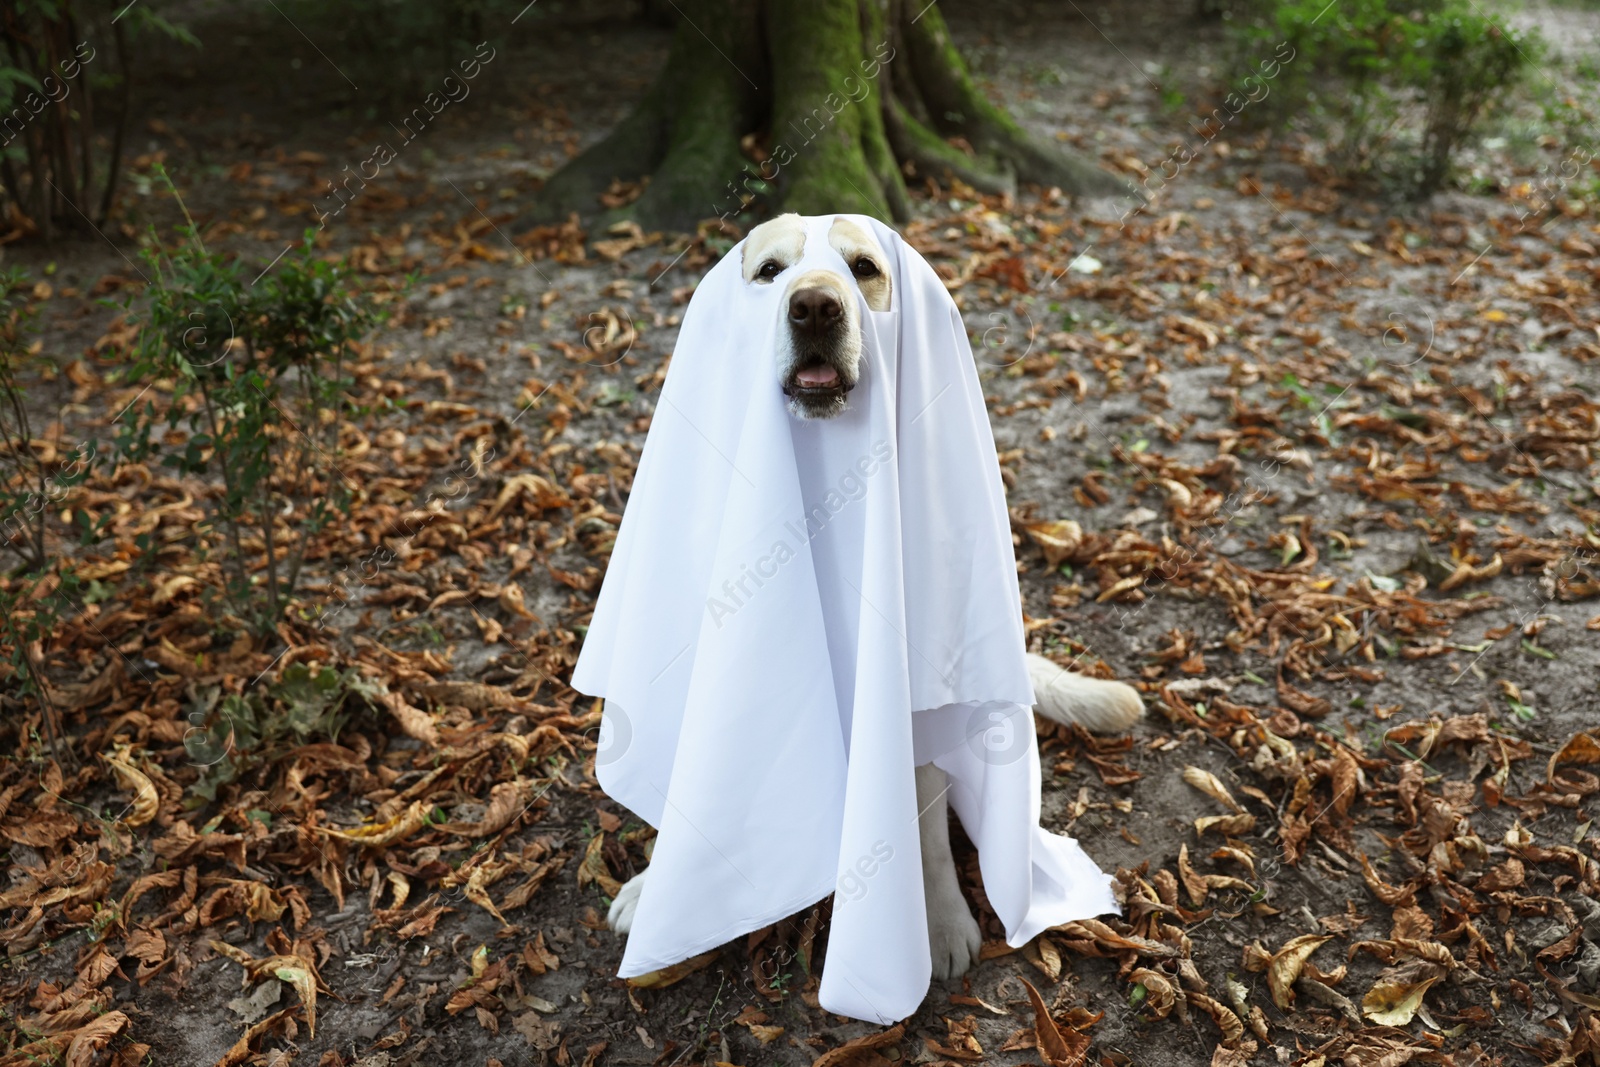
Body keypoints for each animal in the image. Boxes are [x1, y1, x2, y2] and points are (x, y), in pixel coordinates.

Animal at [604, 214, 1145, 985]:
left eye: (863, 267)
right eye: (770, 271)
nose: (815, 308)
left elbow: (924, 830)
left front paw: (937, 921)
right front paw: (660, 890)